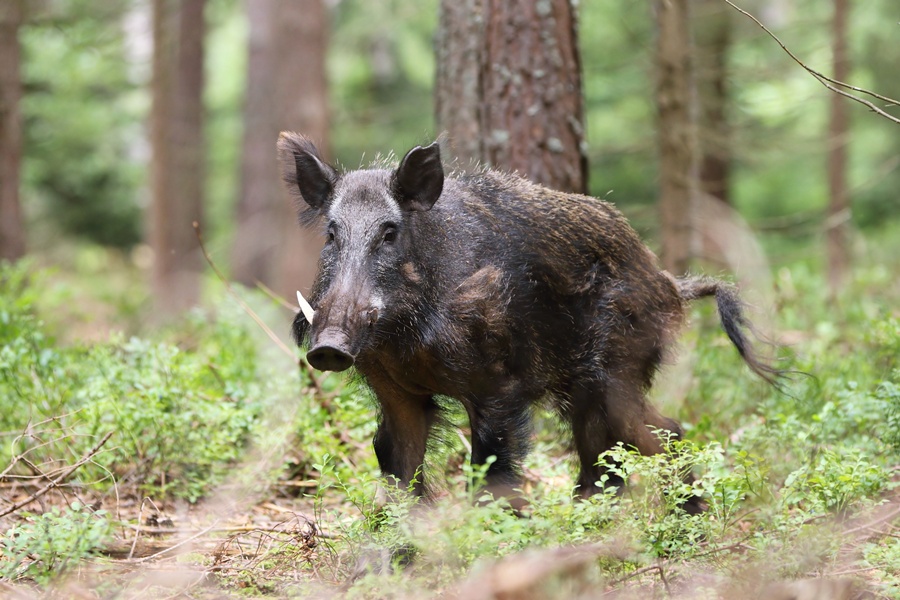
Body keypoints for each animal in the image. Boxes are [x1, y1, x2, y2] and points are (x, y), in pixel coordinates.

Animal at [278, 132, 779, 513]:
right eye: (331, 234)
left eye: (388, 232)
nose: (328, 347)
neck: (406, 340)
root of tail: (670, 282)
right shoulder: (396, 392)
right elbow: (398, 467)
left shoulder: (498, 384)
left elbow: (492, 466)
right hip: (583, 387)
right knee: (604, 446)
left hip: (617, 367)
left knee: (663, 430)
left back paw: (688, 519)